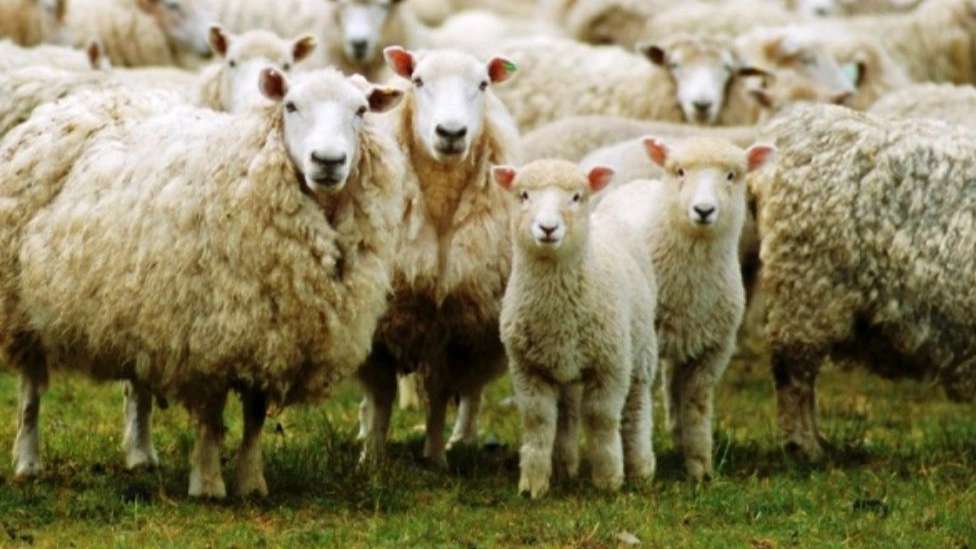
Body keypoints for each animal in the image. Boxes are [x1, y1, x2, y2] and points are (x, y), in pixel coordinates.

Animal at [0, 68, 406, 496]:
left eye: (361, 110)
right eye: (290, 105)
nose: (328, 161)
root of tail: (71, 104)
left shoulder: (267, 334)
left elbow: (255, 416)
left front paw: (251, 481)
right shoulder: (209, 335)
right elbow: (211, 417)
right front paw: (208, 483)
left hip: (138, 304)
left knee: (136, 386)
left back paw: (140, 456)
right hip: (21, 307)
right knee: (30, 391)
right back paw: (28, 461)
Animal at [357, 46, 520, 467]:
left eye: (483, 84)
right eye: (418, 81)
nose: (450, 133)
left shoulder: (456, 326)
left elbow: (440, 396)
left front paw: (434, 457)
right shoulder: (380, 326)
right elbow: (380, 397)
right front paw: (372, 457)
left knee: (472, 392)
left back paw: (463, 438)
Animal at [496, 160, 657, 498]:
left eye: (576, 197)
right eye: (523, 195)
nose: (547, 228)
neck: (559, 309)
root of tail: (605, 216)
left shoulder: (610, 365)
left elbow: (601, 418)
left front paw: (609, 480)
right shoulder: (527, 368)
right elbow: (538, 421)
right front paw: (533, 484)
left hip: (640, 350)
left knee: (636, 408)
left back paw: (641, 468)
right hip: (564, 365)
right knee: (568, 412)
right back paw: (564, 467)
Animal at [594, 137, 776, 480]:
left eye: (732, 175)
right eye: (679, 171)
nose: (704, 210)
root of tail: (638, 184)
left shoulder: (713, 349)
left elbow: (696, 404)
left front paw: (700, 468)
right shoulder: (645, 345)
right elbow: (638, 403)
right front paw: (642, 465)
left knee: (673, 385)